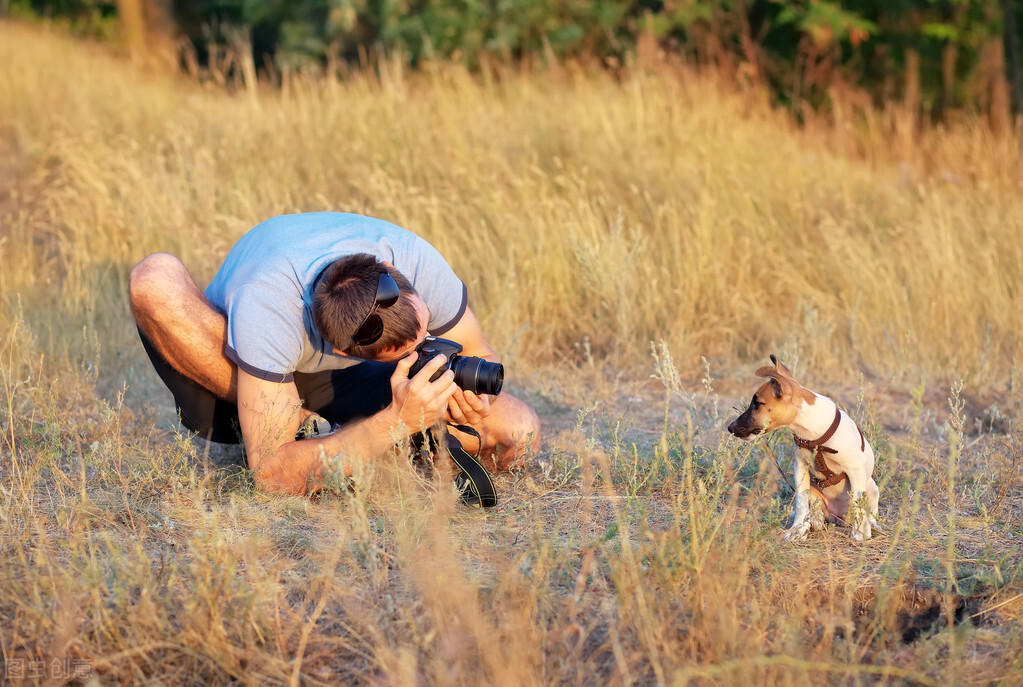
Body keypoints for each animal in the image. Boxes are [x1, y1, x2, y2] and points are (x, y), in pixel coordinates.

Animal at [728, 353, 879, 543]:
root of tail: (838, 518)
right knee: (817, 517)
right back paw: (808, 525)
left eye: (757, 404)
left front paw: (859, 533)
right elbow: (801, 503)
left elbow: (858, 503)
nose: (730, 428)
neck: (814, 436)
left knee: (869, 510)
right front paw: (797, 527)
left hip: (872, 487)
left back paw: (871, 524)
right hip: (815, 494)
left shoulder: (855, 469)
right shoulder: (800, 468)